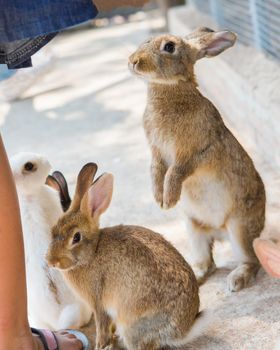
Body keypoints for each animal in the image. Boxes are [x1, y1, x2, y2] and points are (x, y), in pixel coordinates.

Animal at [46, 163, 208, 350]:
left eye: (76, 237)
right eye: (53, 229)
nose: (51, 261)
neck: (92, 252)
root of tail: (182, 332)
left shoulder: (99, 303)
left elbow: (102, 326)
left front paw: (100, 346)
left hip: (132, 326)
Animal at [128, 27, 266, 292]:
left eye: (169, 47)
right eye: (147, 40)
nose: (133, 61)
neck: (168, 90)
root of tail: (219, 233)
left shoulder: (197, 152)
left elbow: (176, 171)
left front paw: (169, 199)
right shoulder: (157, 152)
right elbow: (155, 170)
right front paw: (159, 199)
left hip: (239, 227)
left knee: (251, 259)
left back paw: (236, 280)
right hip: (193, 229)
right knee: (207, 263)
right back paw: (196, 275)